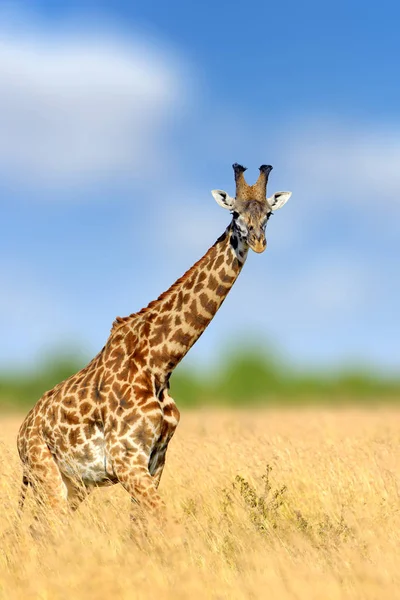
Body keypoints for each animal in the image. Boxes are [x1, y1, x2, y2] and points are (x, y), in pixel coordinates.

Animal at [16, 163, 290, 520]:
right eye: (234, 213)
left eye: (269, 213)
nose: (257, 242)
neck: (160, 361)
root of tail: (20, 435)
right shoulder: (126, 459)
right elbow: (165, 519)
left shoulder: (155, 460)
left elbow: (142, 524)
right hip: (46, 476)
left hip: (73, 485)